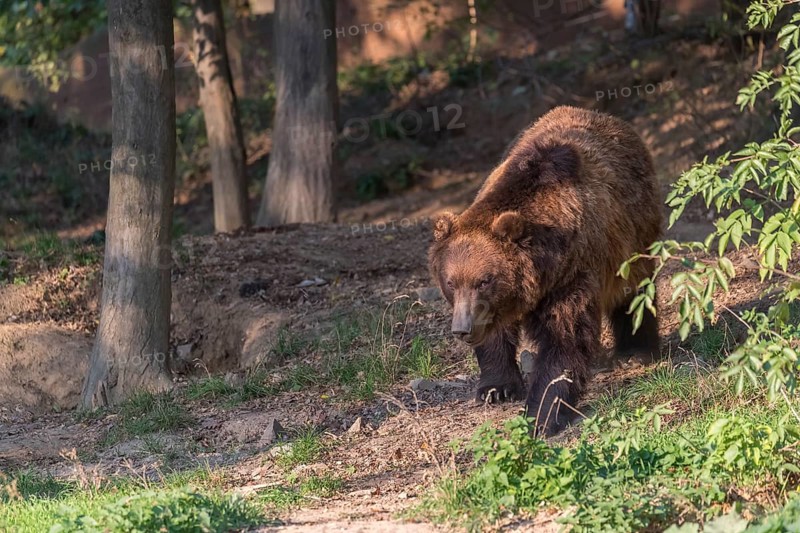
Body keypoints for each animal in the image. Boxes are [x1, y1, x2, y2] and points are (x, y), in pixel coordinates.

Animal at [428, 106, 662, 436]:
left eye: (484, 281)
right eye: (451, 282)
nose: (462, 329)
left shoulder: (571, 273)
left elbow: (563, 339)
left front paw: (541, 413)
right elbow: (496, 333)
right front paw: (495, 388)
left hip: (634, 236)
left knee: (634, 290)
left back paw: (636, 351)